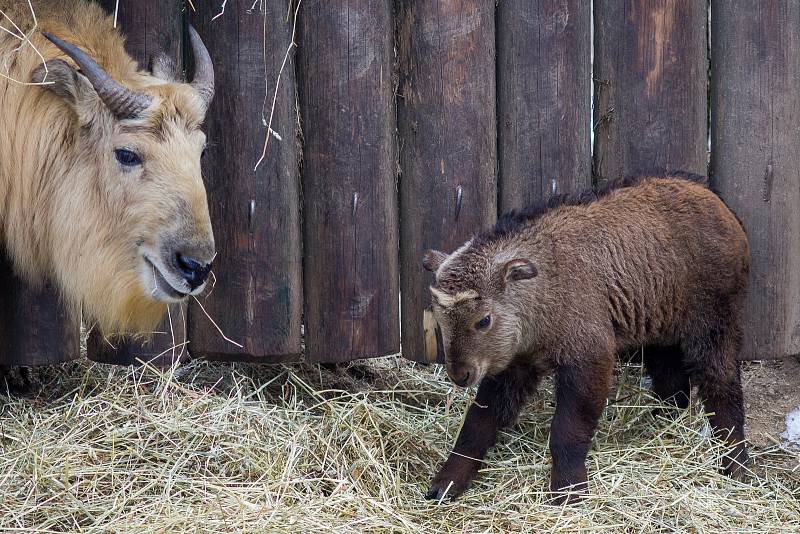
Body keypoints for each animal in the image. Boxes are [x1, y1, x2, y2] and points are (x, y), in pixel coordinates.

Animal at [424, 176, 752, 506]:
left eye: (483, 320)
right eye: (439, 318)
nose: (460, 375)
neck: (544, 285)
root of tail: (718, 204)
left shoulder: (589, 359)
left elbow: (567, 430)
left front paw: (568, 490)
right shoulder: (514, 364)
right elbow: (478, 424)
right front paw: (447, 481)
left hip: (713, 326)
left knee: (722, 388)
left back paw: (735, 464)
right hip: (659, 330)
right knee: (674, 384)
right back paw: (664, 424)